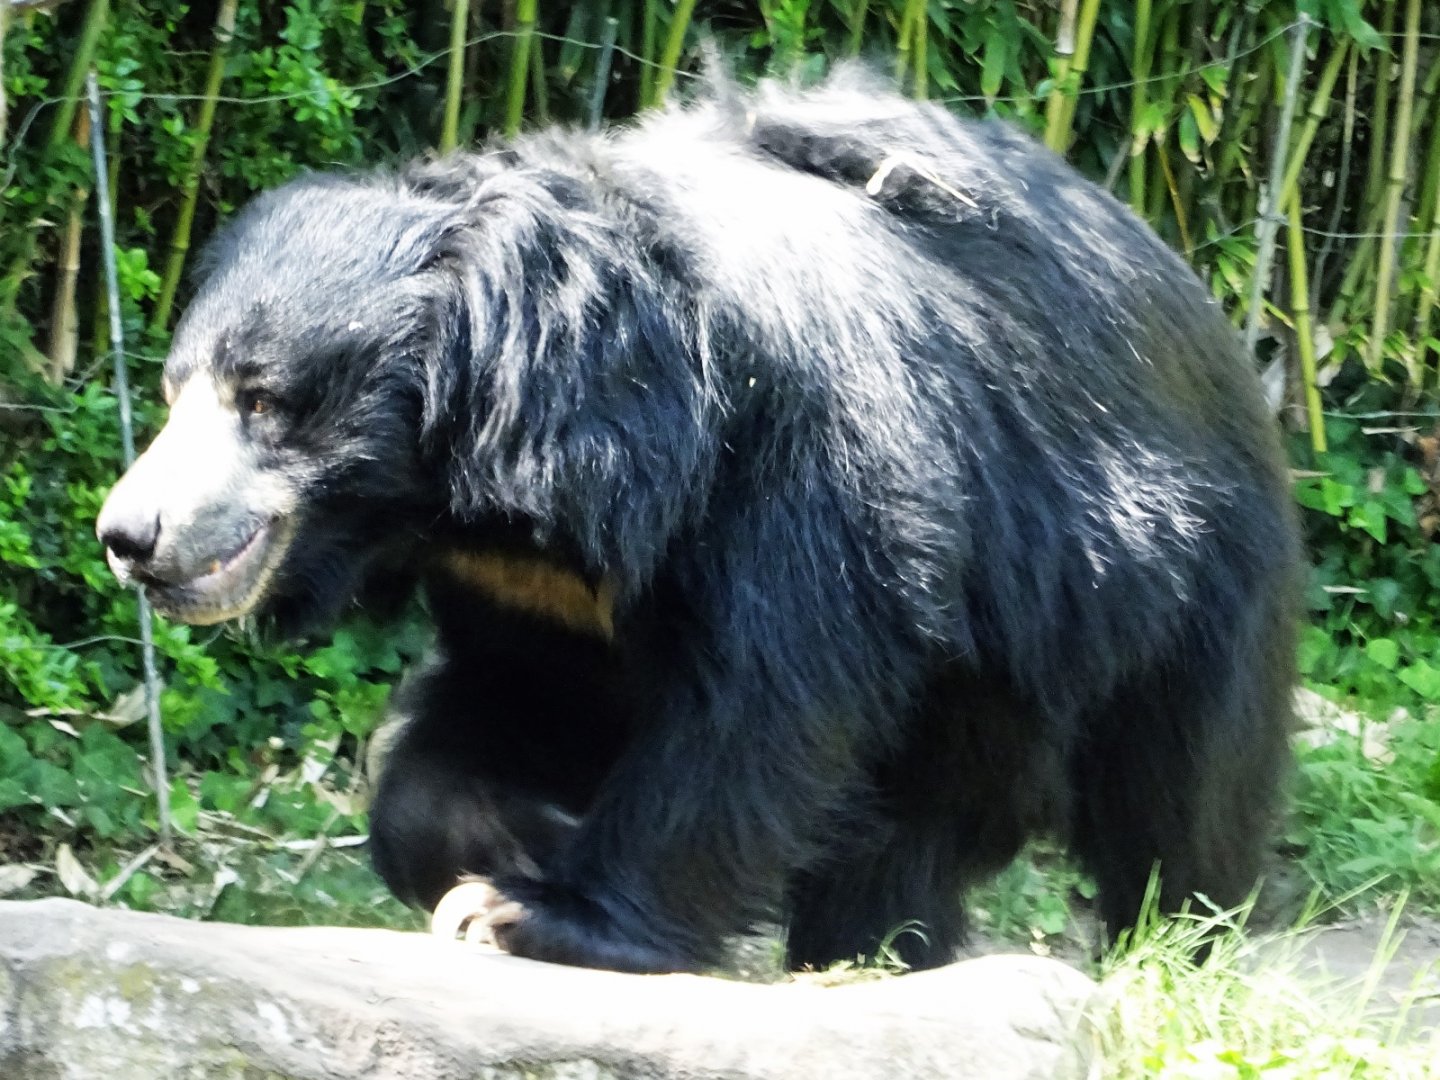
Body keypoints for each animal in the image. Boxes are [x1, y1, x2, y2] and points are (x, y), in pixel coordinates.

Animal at [96, 68, 1300, 975]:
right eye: (172, 390)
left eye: (263, 399)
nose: (130, 535)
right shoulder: (527, 590)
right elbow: (503, 712)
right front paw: (506, 846)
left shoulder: (797, 460)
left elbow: (766, 702)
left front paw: (536, 912)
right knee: (906, 837)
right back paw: (871, 959)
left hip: (1177, 586)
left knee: (1180, 796)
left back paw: (1169, 952)